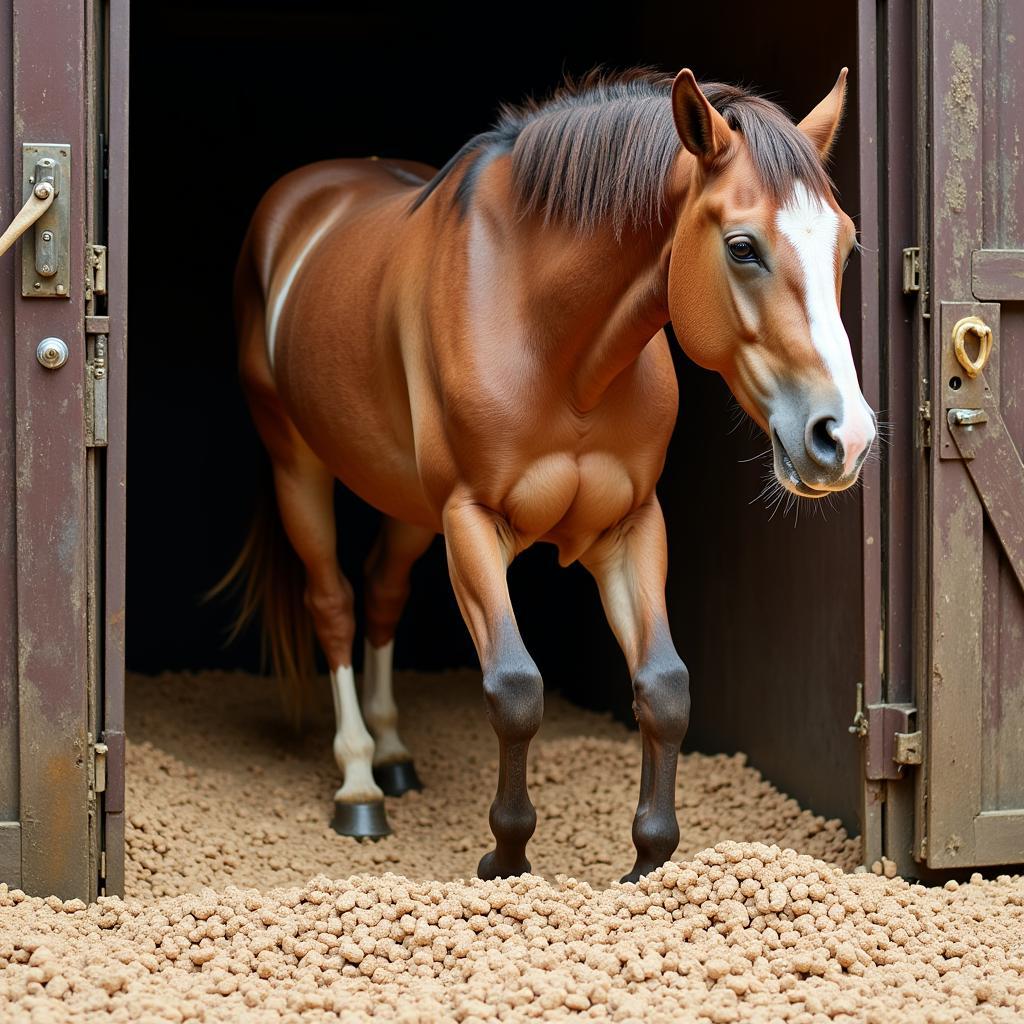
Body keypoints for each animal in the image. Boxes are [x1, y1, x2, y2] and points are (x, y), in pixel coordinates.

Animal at [222, 66, 872, 880]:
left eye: (845, 245)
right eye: (743, 247)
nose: (844, 437)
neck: (552, 338)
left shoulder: (631, 525)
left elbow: (665, 688)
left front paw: (650, 862)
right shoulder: (469, 522)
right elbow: (514, 689)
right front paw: (506, 859)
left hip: (407, 505)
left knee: (382, 594)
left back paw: (394, 753)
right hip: (298, 468)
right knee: (335, 604)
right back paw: (360, 783)